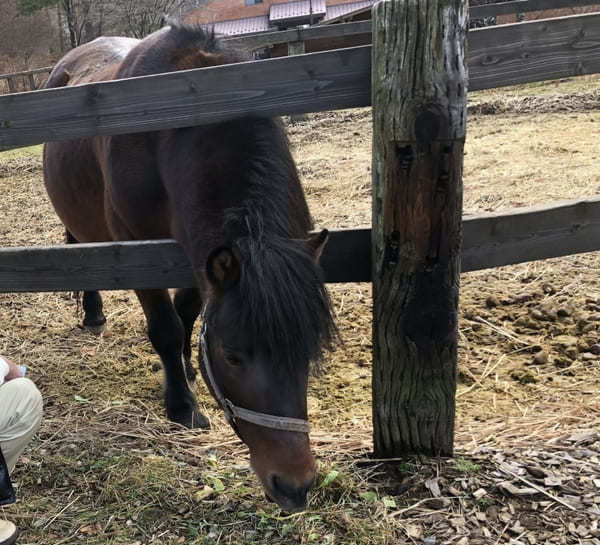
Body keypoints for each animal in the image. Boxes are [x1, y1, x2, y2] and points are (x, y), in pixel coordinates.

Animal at [42, 24, 336, 510]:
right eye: (233, 355)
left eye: (308, 350)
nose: (295, 485)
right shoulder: (135, 248)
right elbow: (165, 326)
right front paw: (182, 405)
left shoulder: (197, 257)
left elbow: (189, 313)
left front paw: (188, 366)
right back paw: (93, 312)